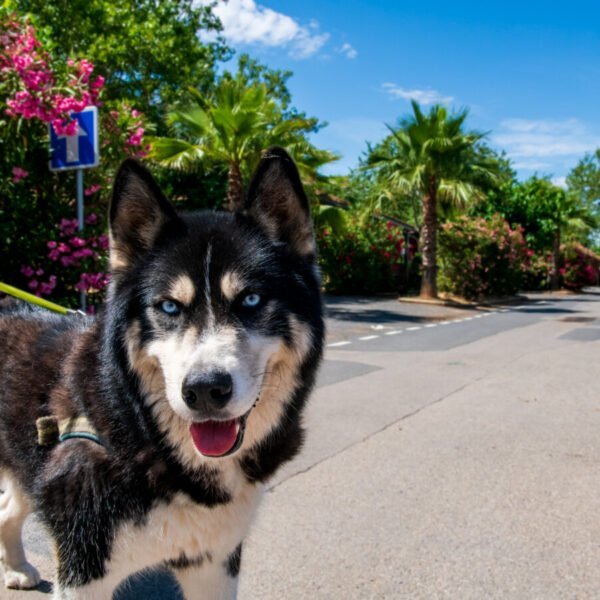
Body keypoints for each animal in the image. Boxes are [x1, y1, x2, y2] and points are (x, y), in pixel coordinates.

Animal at [0, 146, 324, 600]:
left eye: (251, 299)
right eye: (169, 306)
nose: (205, 390)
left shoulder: (214, 562)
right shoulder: (84, 568)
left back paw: (16, 567)